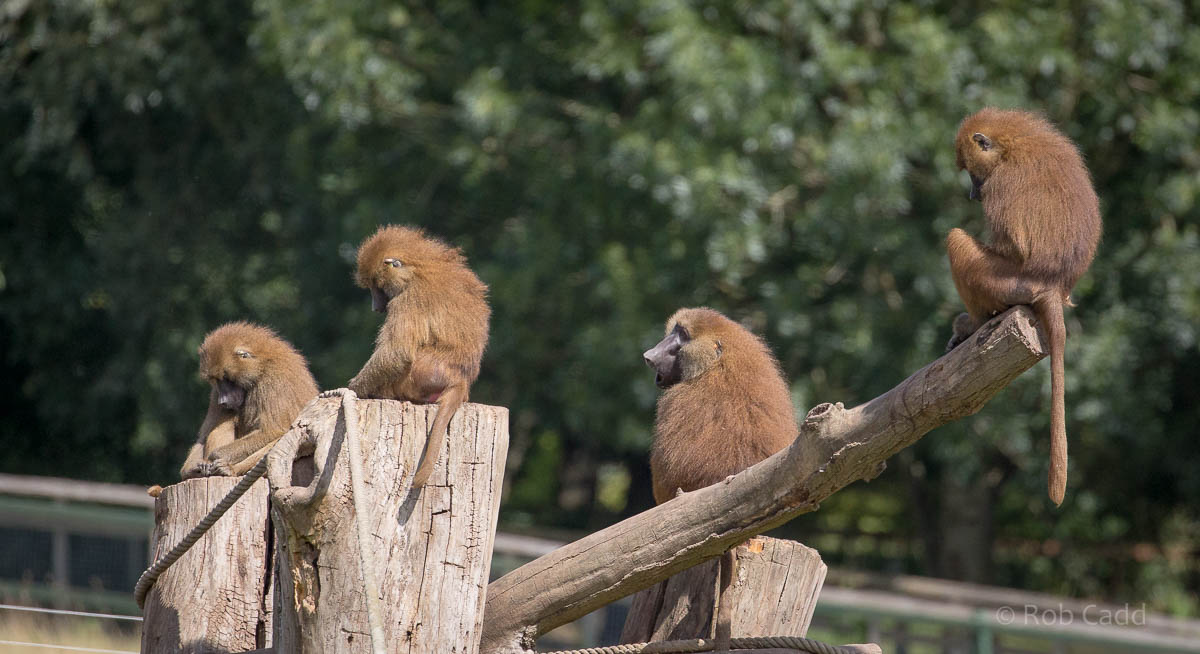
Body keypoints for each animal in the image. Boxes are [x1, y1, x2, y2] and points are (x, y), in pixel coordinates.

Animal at [180, 322, 319, 479]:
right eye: (216, 380)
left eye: (226, 378)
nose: (223, 400)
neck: (261, 366)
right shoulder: (215, 394)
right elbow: (203, 436)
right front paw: (193, 468)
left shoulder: (272, 382)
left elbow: (272, 431)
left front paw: (214, 457)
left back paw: (231, 469)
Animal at [348, 225, 490, 489]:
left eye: (377, 286)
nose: (375, 307)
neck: (418, 269)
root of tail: (461, 381)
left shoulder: (407, 299)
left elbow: (397, 354)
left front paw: (351, 389)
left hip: (414, 378)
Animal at [947, 107, 1102, 506]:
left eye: (973, 174)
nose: (972, 193)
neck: (1012, 145)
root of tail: (1053, 285)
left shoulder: (1001, 183)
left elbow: (1012, 245)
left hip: (1005, 281)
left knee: (956, 239)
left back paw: (973, 323)